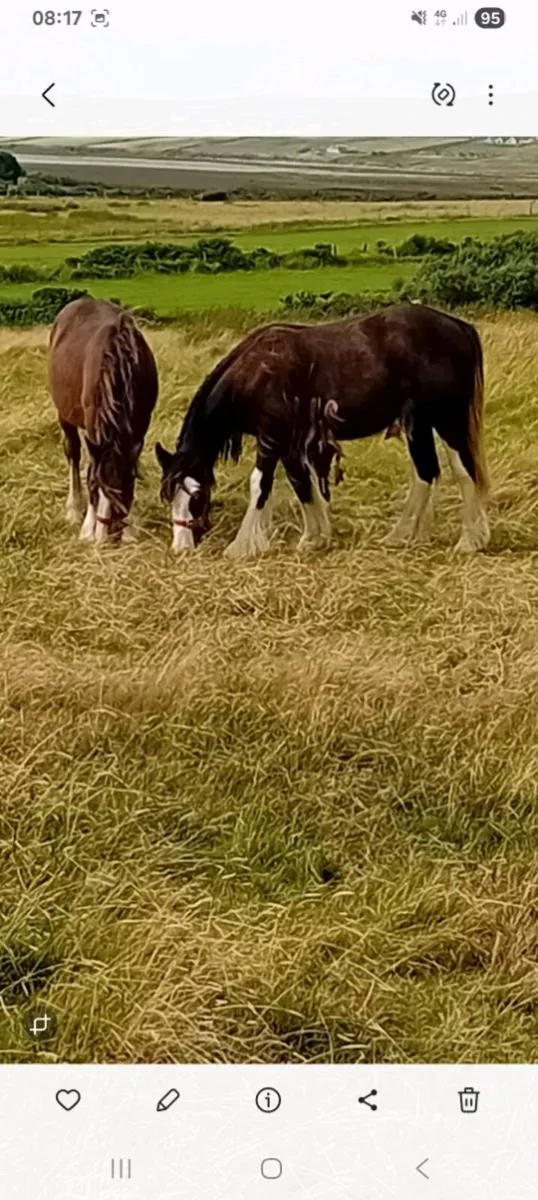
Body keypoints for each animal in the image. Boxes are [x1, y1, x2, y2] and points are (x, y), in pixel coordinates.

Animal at [49, 297, 159, 542]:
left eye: (125, 489)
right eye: (94, 488)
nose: (103, 539)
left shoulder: (141, 425)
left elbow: (132, 464)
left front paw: (130, 530)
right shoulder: (94, 426)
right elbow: (92, 467)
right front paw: (88, 530)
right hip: (65, 416)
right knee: (73, 452)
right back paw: (73, 509)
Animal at [155, 303, 489, 557]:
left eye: (197, 496)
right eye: (169, 495)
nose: (181, 548)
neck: (256, 372)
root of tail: (458, 326)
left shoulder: (271, 437)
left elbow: (259, 484)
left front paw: (242, 546)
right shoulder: (290, 442)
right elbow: (301, 482)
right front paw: (314, 537)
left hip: (447, 420)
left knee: (464, 473)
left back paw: (469, 541)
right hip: (419, 424)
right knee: (426, 472)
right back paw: (402, 535)